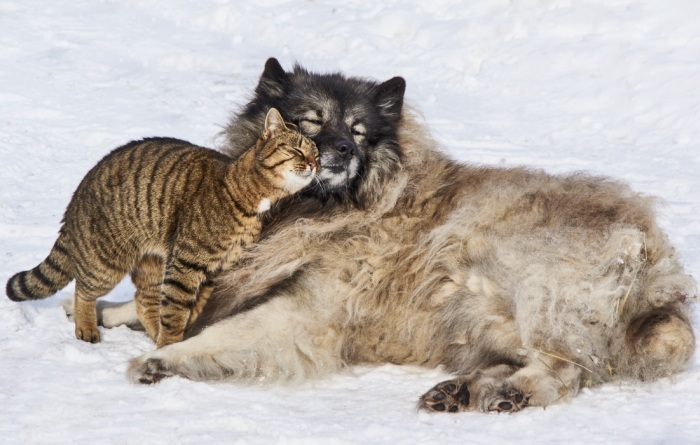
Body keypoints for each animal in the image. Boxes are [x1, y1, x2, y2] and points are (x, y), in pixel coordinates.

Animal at [4, 107, 318, 346]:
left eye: (316, 153)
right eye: (296, 149)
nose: (315, 164)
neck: (247, 197)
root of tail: (76, 197)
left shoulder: (214, 271)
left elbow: (191, 308)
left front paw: (173, 338)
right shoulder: (186, 265)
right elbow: (176, 310)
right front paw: (168, 345)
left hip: (152, 263)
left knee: (143, 299)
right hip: (106, 263)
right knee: (84, 289)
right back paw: (87, 327)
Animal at [97, 58, 696, 412]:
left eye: (360, 132)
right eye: (311, 121)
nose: (342, 150)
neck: (333, 209)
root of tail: (652, 255)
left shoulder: (305, 313)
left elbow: (229, 333)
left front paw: (162, 360)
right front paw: (110, 314)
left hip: (508, 275)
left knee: (568, 368)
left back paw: (512, 391)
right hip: (473, 315)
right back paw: (462, 390)